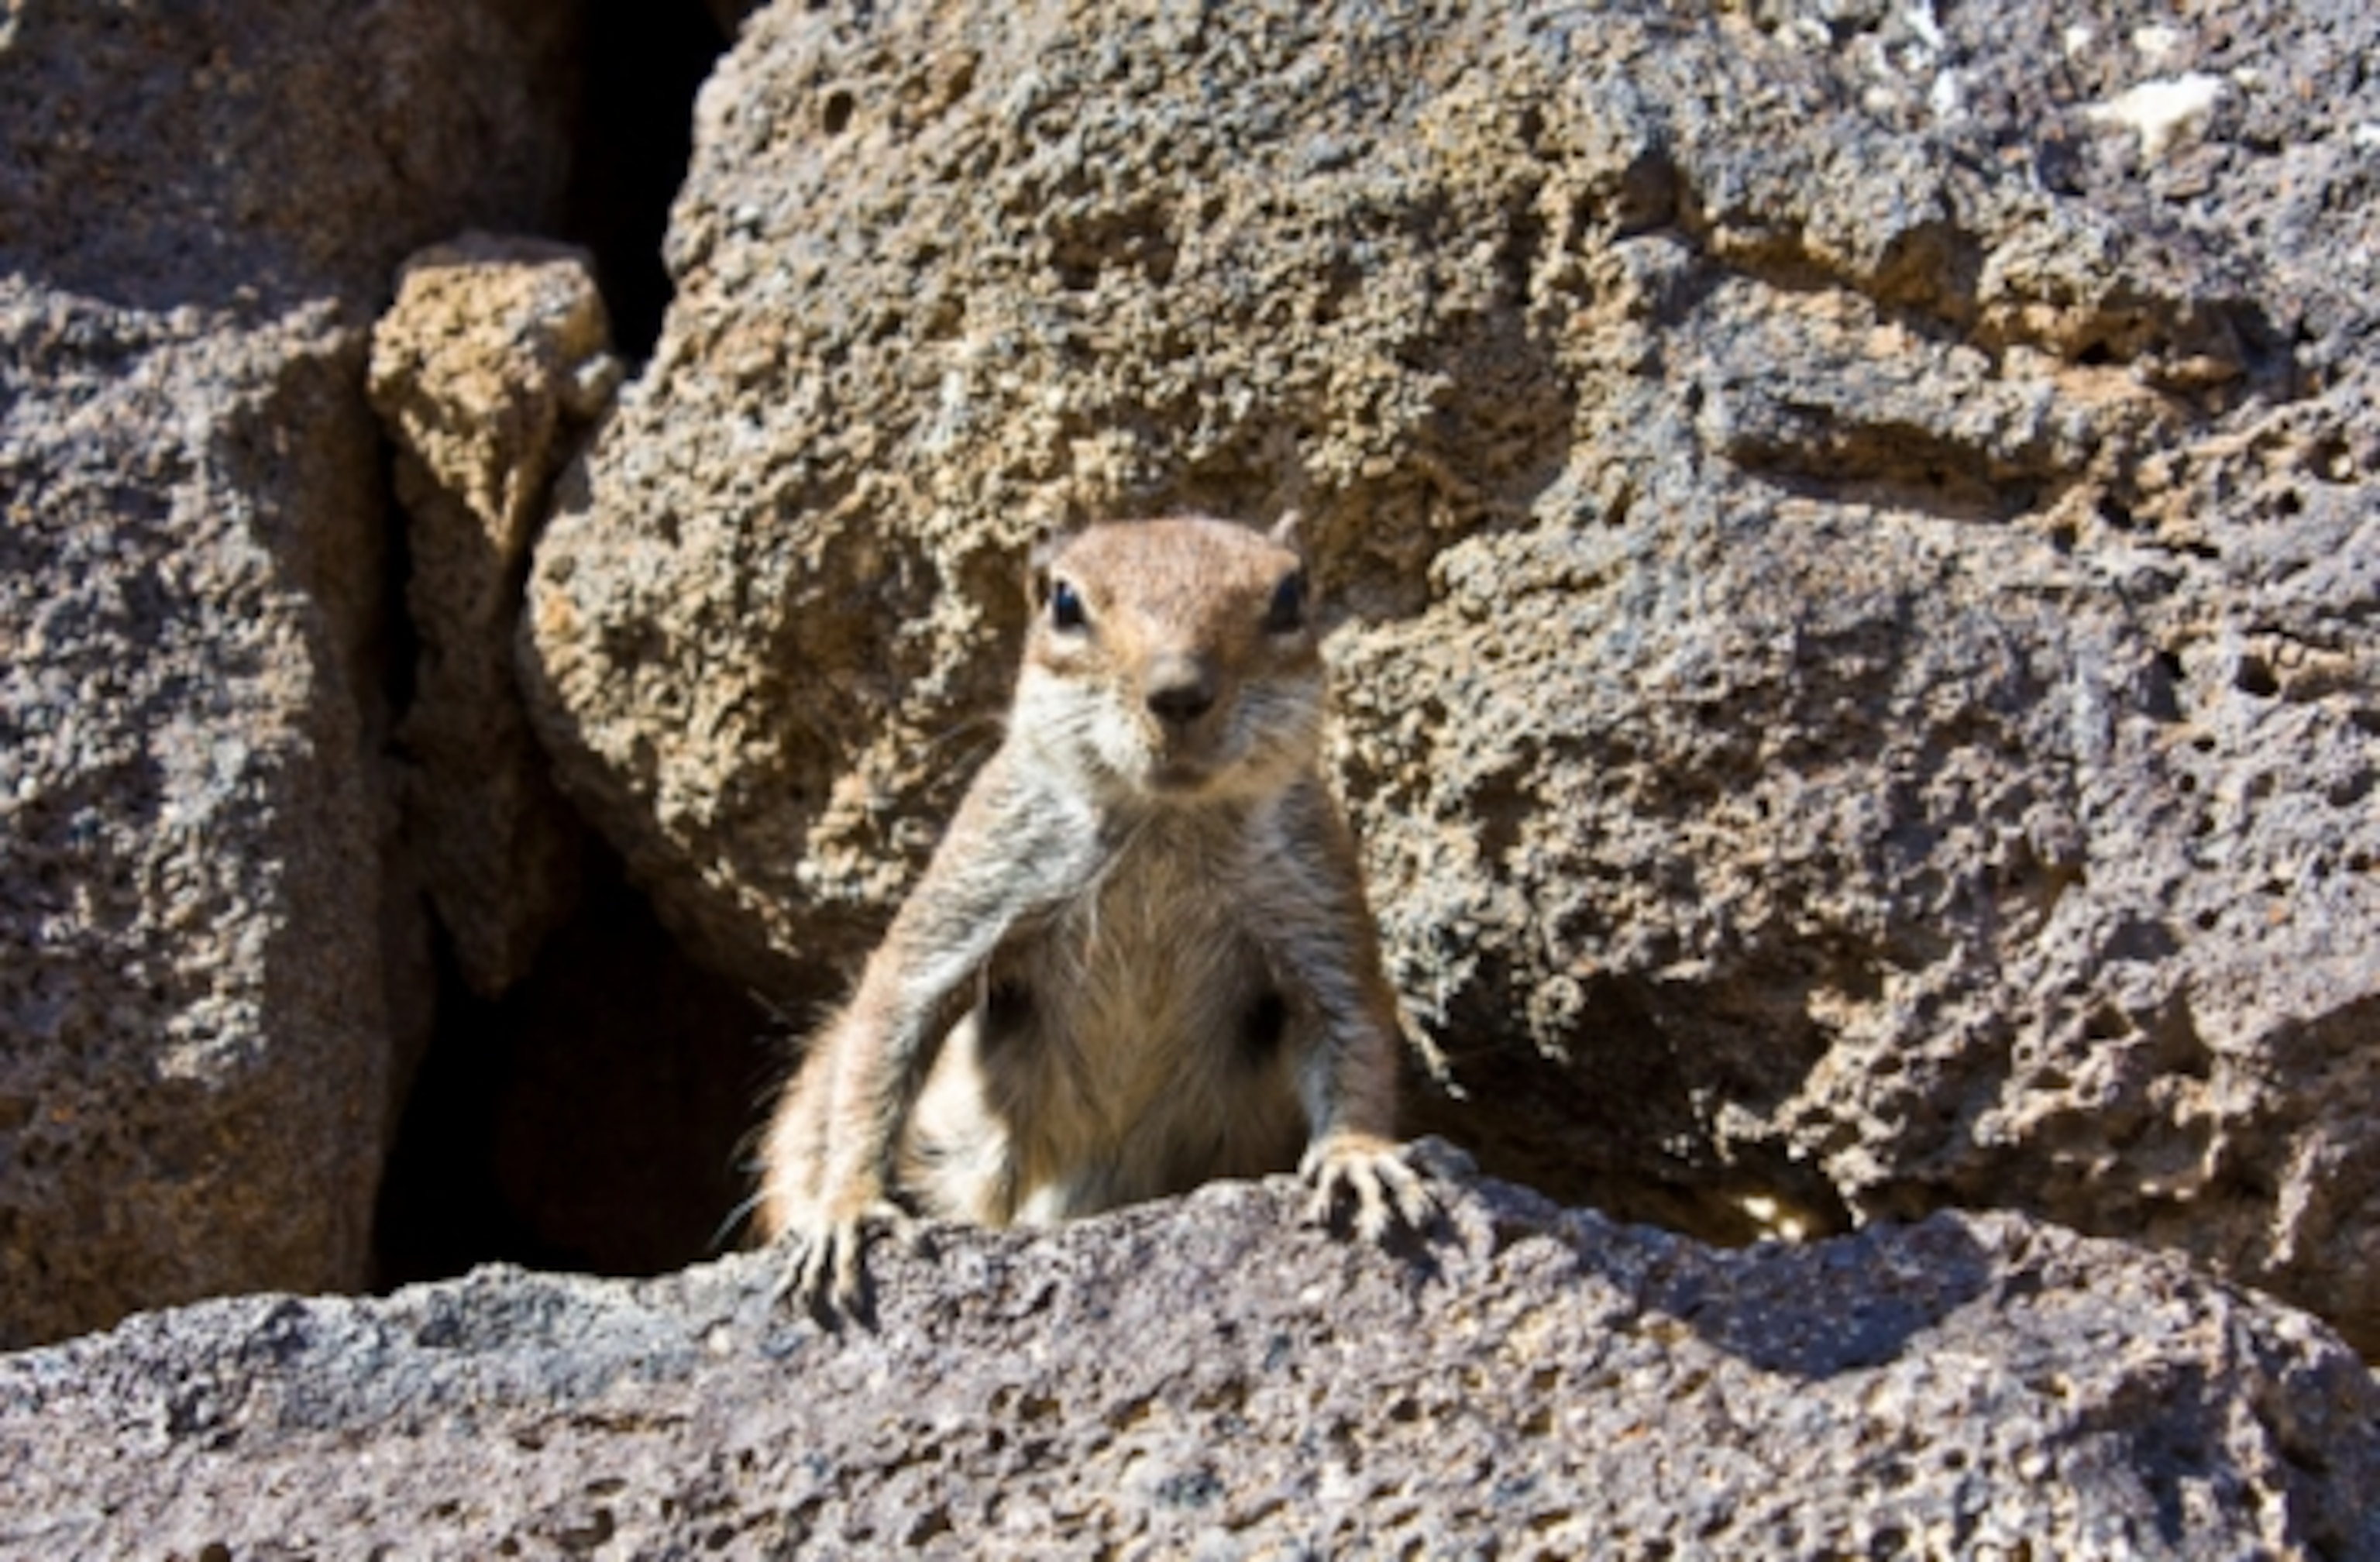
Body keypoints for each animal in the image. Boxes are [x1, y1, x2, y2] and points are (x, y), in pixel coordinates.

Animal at [755, 513, 1433, 1312]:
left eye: (1291, 596)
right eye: (1065, 603)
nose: (1178, 692)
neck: (1164, 824)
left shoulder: (1319, 911)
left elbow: (1354, 1032)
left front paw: (1359, 1155)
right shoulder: (971, 889)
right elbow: (890, 1024)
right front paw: (850, 1206)